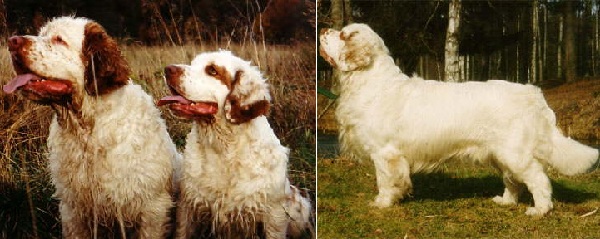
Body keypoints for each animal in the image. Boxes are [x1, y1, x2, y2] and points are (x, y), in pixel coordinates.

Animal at [3, 16, 179, 237]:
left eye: (59, 39)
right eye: (41, 34)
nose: (12, 41)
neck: (88, 129)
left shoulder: (153, 210)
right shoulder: (73, 211)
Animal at [157, 50, 312, 237]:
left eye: (212, 70)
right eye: (193, 63)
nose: (168, 69)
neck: (223, 147)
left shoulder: (274, 216)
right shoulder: (188, 204)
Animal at [322, 22, 596, 217]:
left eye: (344, 35)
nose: (323, 29)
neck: (369, 81)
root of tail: (533, 93)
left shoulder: (385, 153)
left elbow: (386, 182)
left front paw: (382, 203)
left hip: (516, 154)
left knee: (538, 179)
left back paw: (540, 210)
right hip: (501, 155)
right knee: (512, 181)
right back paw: (505, 201)